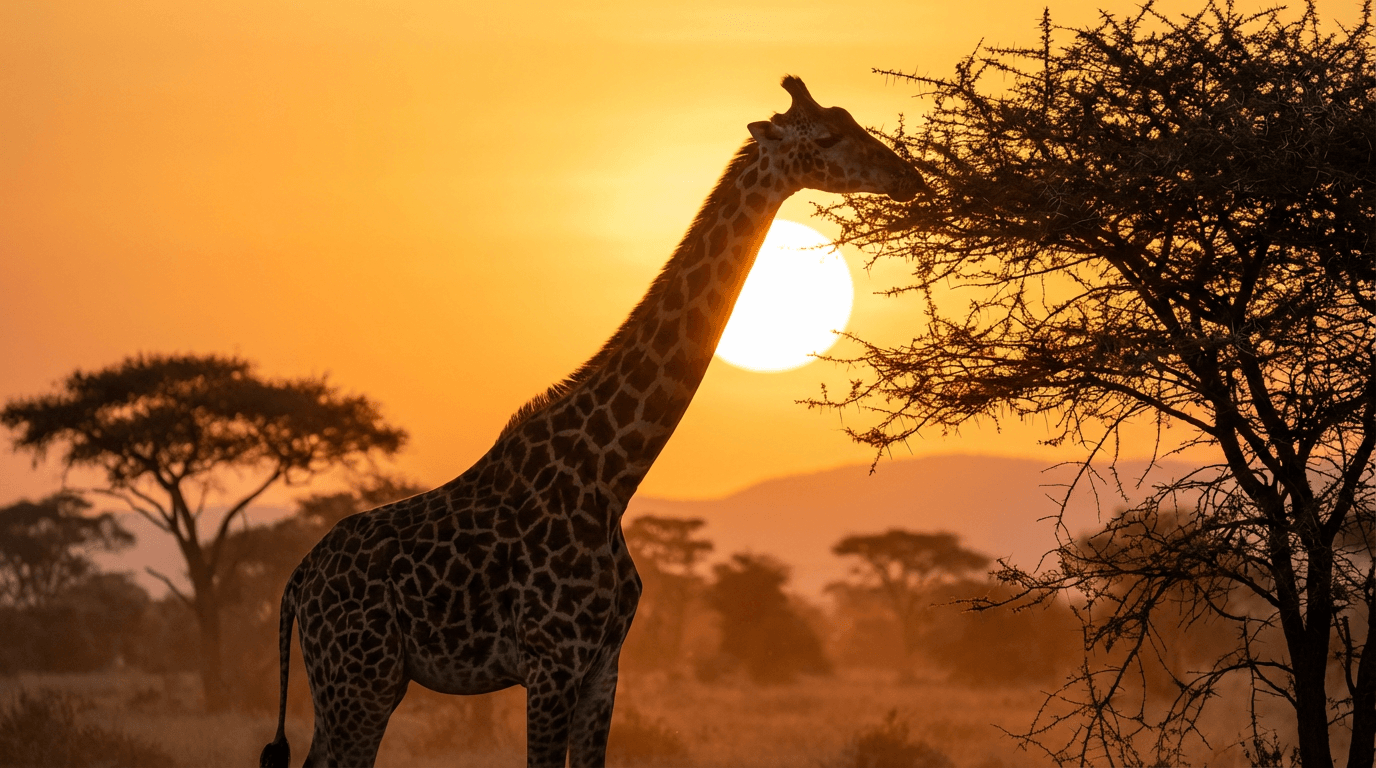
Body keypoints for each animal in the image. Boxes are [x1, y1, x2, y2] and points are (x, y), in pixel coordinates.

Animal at [259, 76, 926, 768]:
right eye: (828, 136)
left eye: (851, 120)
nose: (910, 177)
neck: (611, 477)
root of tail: (297, 583)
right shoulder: (552, 661)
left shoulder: (604, 664)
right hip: (360, 680)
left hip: (359, 683)